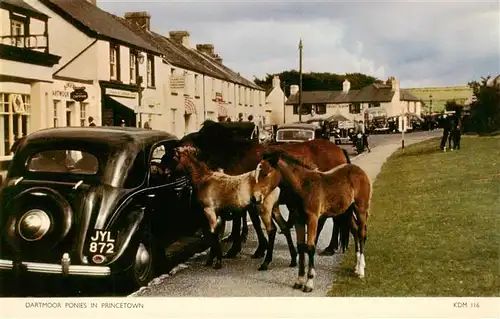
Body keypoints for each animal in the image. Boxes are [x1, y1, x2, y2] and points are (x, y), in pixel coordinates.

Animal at [254, 151, 372, 294]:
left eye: (266, 173)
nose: (255, 197)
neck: (302, 187)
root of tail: (359, 170)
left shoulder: (313, 219)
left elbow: (310, 247)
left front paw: (309, 283)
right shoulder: (298, 220)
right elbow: (301, 247)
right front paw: (299, 281)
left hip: (361, 208)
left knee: (362, 233)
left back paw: (360, 270)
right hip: (346, 212)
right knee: (355, 231)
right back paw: (356, 266)